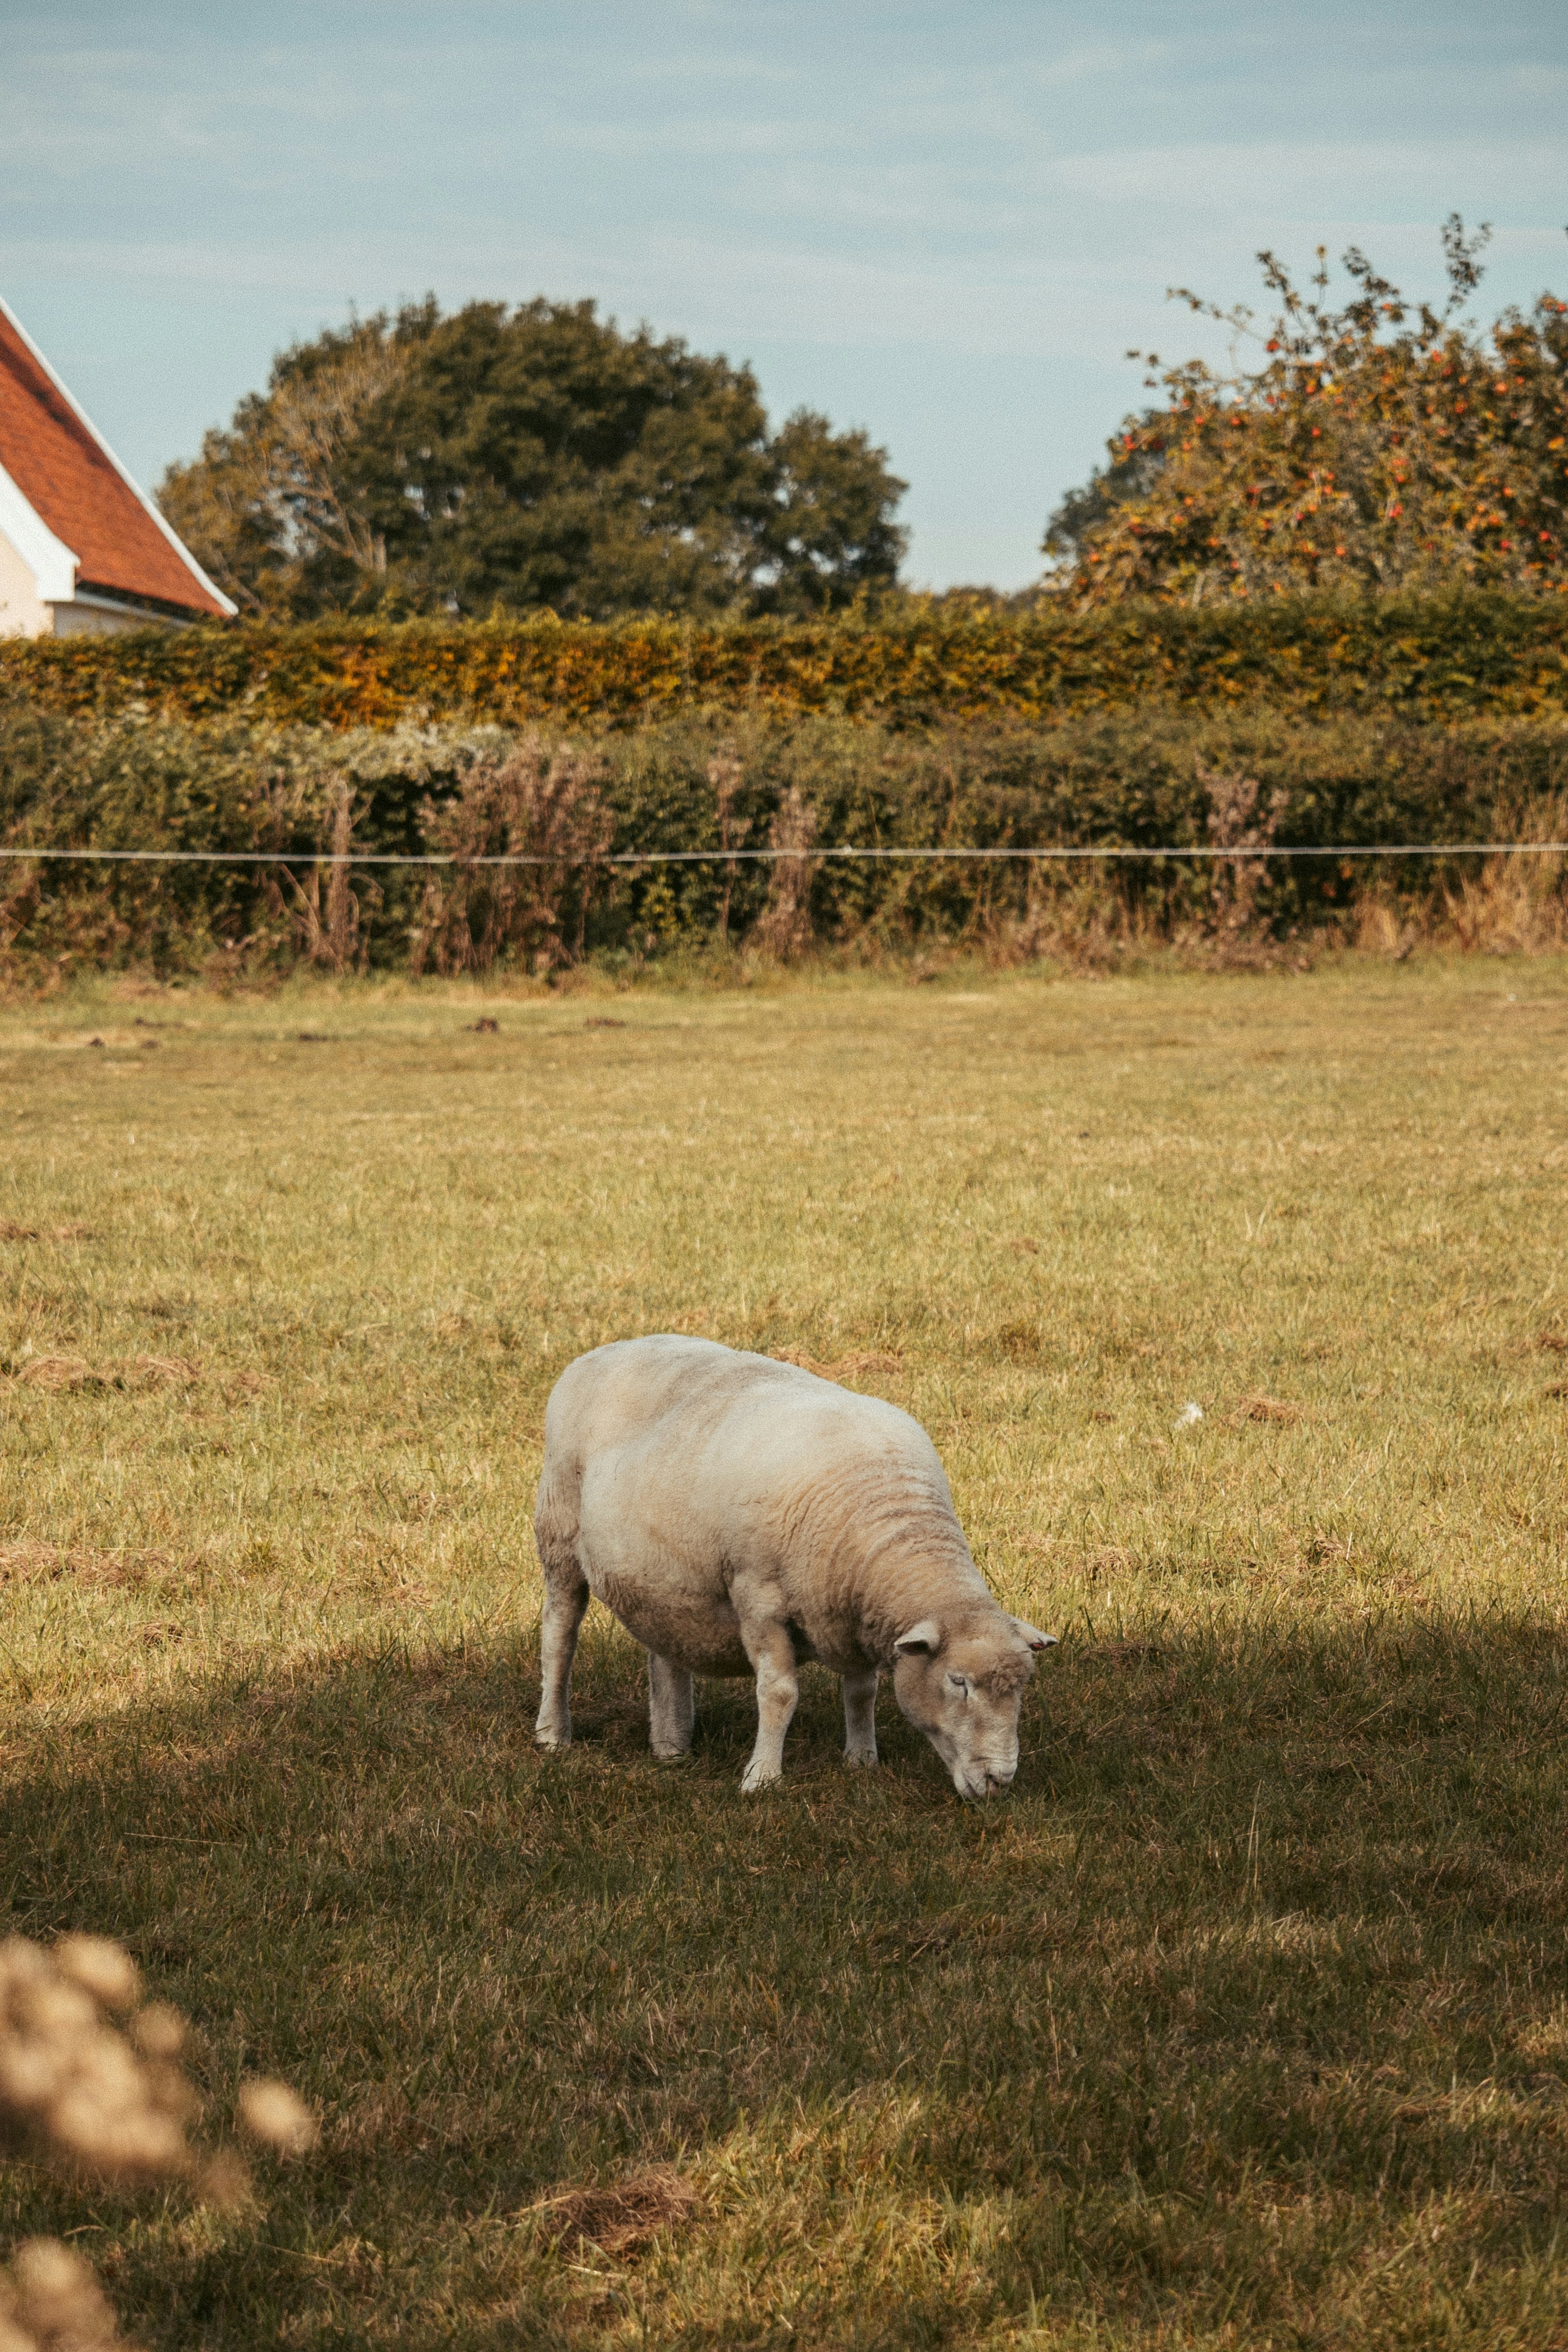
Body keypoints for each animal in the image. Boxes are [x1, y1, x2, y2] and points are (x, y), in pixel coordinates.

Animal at [532, 1334, 1056, 1798]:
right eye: (958, 1682)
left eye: (1022, 1687)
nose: (998, 1782)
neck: (889, 1521)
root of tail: (607, 1349)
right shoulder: (759, 1600)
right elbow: (779, 1693)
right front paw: (762, 1778)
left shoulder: (851, 1612)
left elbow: (862, 1691)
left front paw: (862, 1761)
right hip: (558, 1538)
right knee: (560, 1637)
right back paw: (553, 1734)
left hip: (661, 1576)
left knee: (664, 1645)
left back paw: (670, 1745)